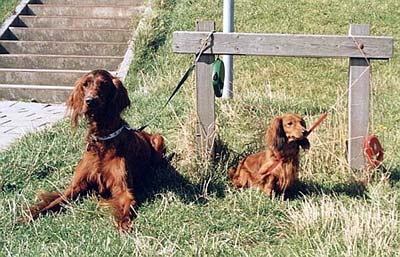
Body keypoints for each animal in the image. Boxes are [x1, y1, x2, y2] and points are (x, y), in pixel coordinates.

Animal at [28, 69, 165, 230]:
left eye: (104, 84)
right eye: (85, 84)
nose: (90, 101)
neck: (102, 140)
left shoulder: (123, 189)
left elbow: (127, 205)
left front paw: (124, 225)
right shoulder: (76, 186)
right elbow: (53, 203)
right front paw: (30, 216)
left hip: (158, 138)